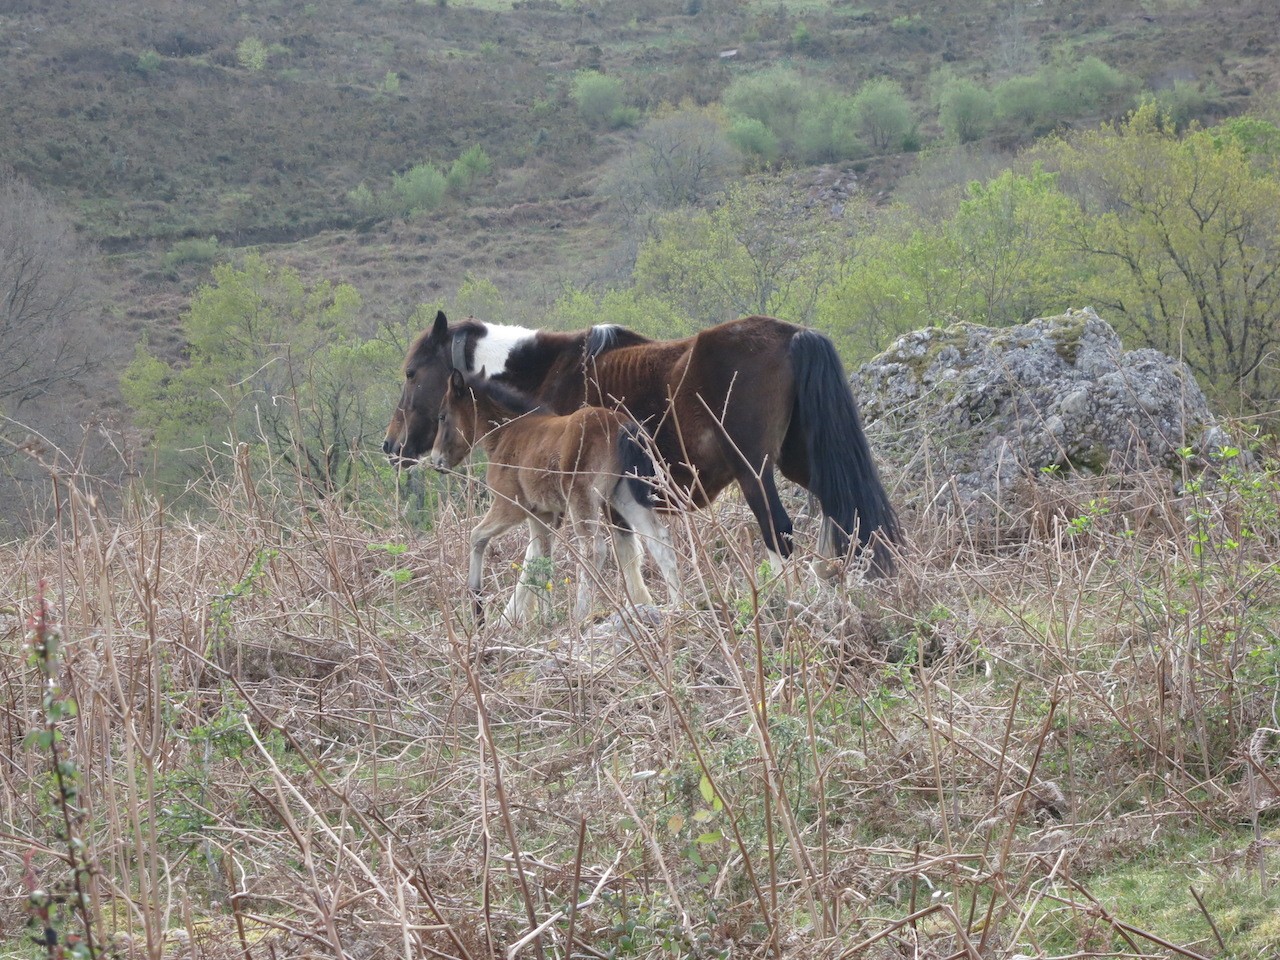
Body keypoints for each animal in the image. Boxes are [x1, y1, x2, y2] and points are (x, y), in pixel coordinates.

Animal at [389, 312, 901, 576]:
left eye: (411, 373)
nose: (392, 446)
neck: (544, 377)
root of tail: (794, 334)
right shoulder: (610, 503)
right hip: (802, 463)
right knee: (848, 516)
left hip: (754, 473)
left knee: (779, 533)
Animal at [432, 366, 680, 624]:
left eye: (442, 416)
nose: (436, 461)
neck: (505, 433)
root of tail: (622, 425)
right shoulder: (542, 514)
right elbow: (542, 559)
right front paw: (545, 616)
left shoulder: (510, 506)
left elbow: (477, 536)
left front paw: (478, 610)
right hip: (623, 496)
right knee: (659, 538)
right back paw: (678, 604)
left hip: (582, 496)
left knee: (594, 549)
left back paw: (580, 616)